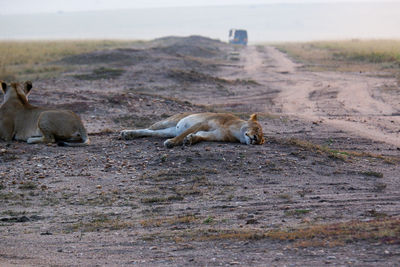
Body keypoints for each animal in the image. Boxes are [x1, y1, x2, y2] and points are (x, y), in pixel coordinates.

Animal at [122, 111, 266, 148]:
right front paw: (172, 142)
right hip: (167, 121)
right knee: (148, 128)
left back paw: (129, 134)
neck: (235, 131)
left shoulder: (214, 135)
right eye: (257, 129)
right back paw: (126, 132)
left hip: (167, 131)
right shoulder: (203, 123)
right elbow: (184, 134)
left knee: (150, 132)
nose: (255, 139)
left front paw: (190, 139)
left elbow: (199, 136)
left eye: (260, 141)